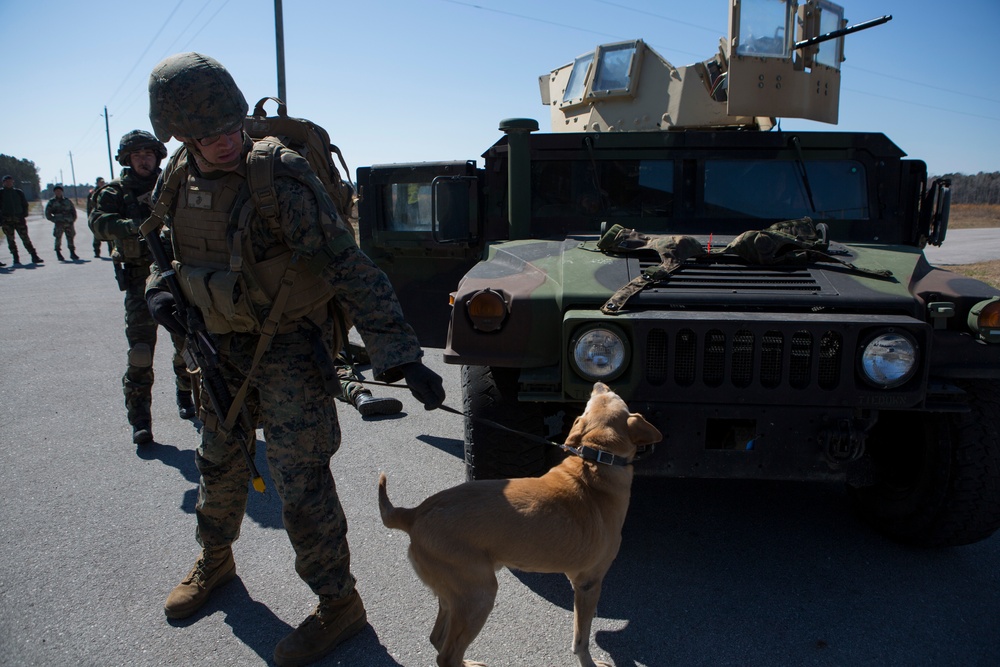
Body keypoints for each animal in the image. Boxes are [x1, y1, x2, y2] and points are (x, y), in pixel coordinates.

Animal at [378, 380, 660, 667]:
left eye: (599, 398)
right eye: (613, 396)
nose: (598, 383)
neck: (597, 460)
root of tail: (415, 513)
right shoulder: (588, 584)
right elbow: (581, 639)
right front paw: (588, 663)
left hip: (453, 596)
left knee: (436, 639)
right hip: (478, 595)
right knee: (447, 655)